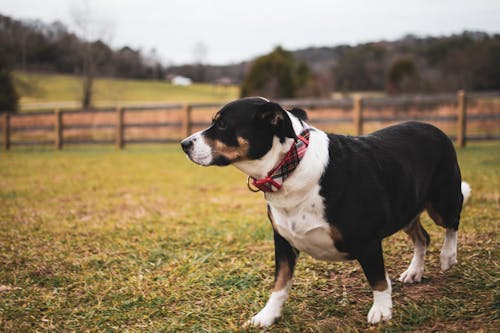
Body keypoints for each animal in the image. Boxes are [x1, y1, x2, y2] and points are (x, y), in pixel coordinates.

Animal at [181, 96, 472, 326]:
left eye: (221, 124)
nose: (184, 144)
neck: (290, 165)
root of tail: (433, 127)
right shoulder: (283, 240)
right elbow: (280, 284)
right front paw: (267, 315)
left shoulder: (366, 241)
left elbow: (378, 278)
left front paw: (381, 311)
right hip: (406, 207)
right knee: (422, 237)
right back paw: (414, 271)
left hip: (441, 200)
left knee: (452, 221)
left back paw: (448, 256)